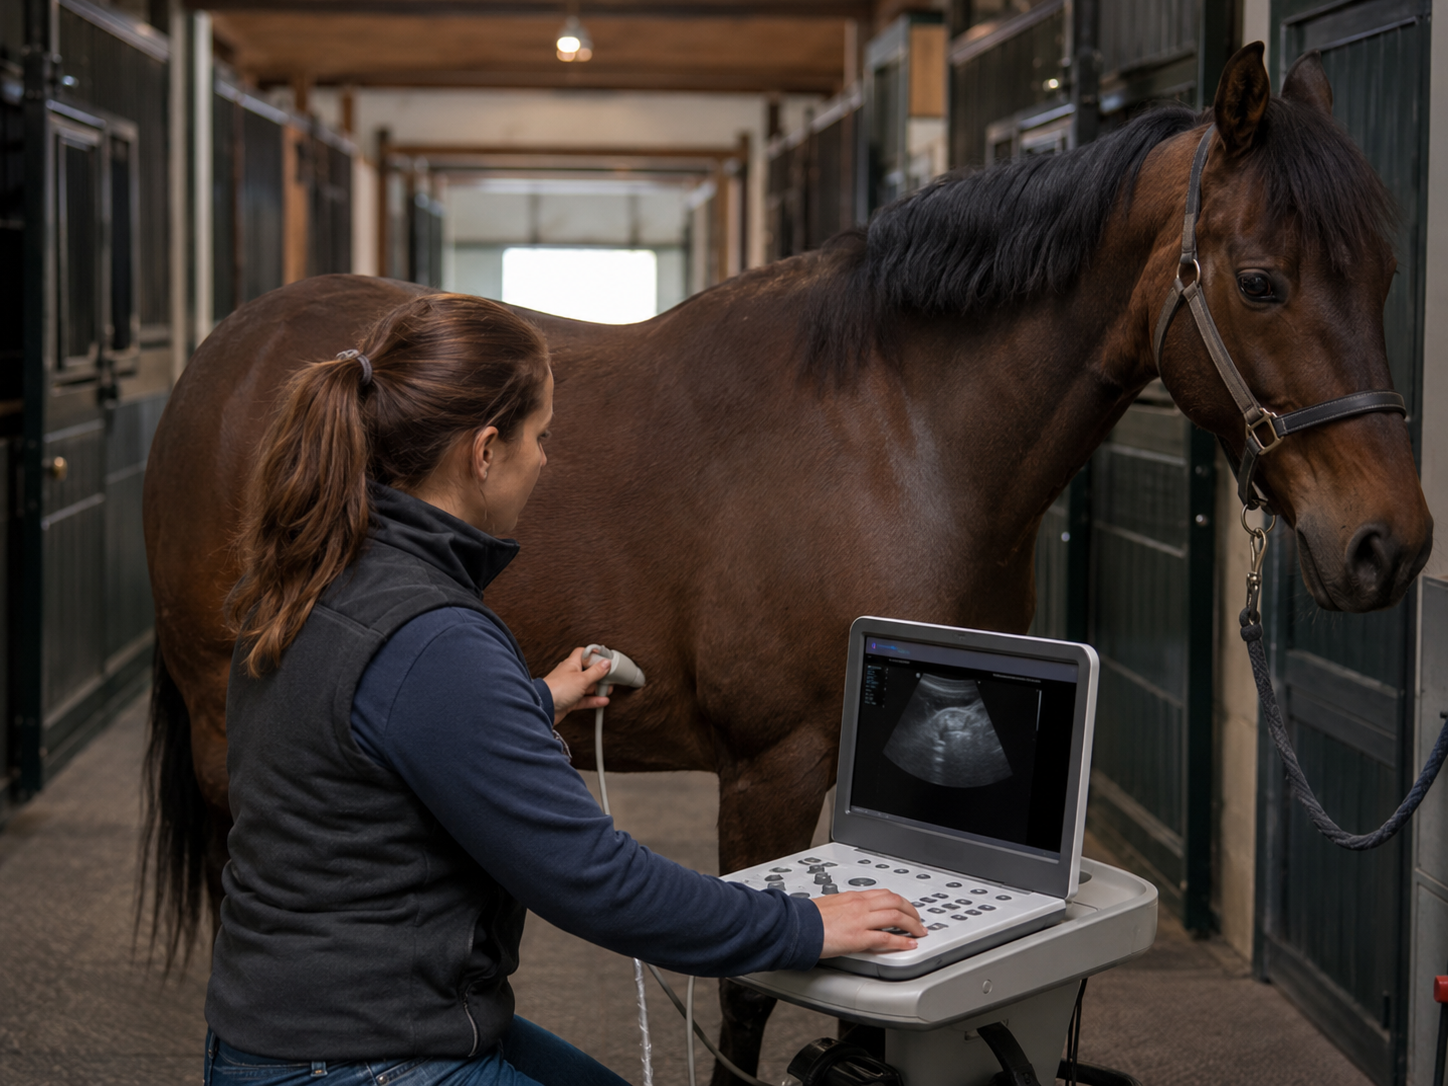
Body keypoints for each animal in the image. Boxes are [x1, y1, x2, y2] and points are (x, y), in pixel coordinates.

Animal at [142, 44, 1430, 1083]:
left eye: (1383, 272)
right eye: (1259, 279)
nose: (1388, 545)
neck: (902, 436)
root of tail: (232, 355)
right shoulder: (771, 766)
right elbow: (752, 991)